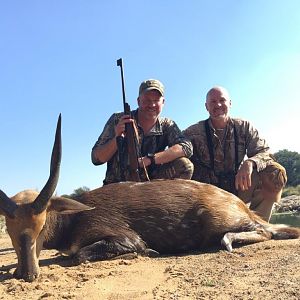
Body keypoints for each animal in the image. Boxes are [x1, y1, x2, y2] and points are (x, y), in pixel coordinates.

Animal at [0, 115, 300, 282]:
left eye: (41, 226)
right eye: (9, 230)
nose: (26, 274)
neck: (71, 222)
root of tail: (239, 205)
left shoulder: (123, 236)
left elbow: (81, 255)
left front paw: (148, 251)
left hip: (222, 220)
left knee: (265, 231)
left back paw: (227, 241)